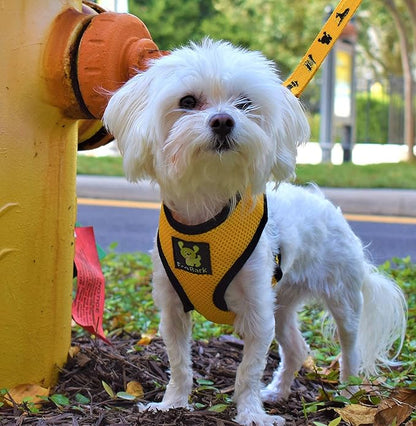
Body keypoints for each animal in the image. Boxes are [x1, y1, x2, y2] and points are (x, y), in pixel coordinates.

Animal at [103, 40, 406, 426]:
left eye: (244, 104)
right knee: (297, 347)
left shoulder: (258, 310)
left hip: (343, 297)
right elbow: (179, 362)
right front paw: (173, 403)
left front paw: (250, 413)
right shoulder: (172, 309)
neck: (208, 211)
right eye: (187, 101)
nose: (223, 120)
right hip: (283, 302)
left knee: (349, 347)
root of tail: (326, 205)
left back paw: (349, 394)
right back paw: (278, 392)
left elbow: (248, 369)